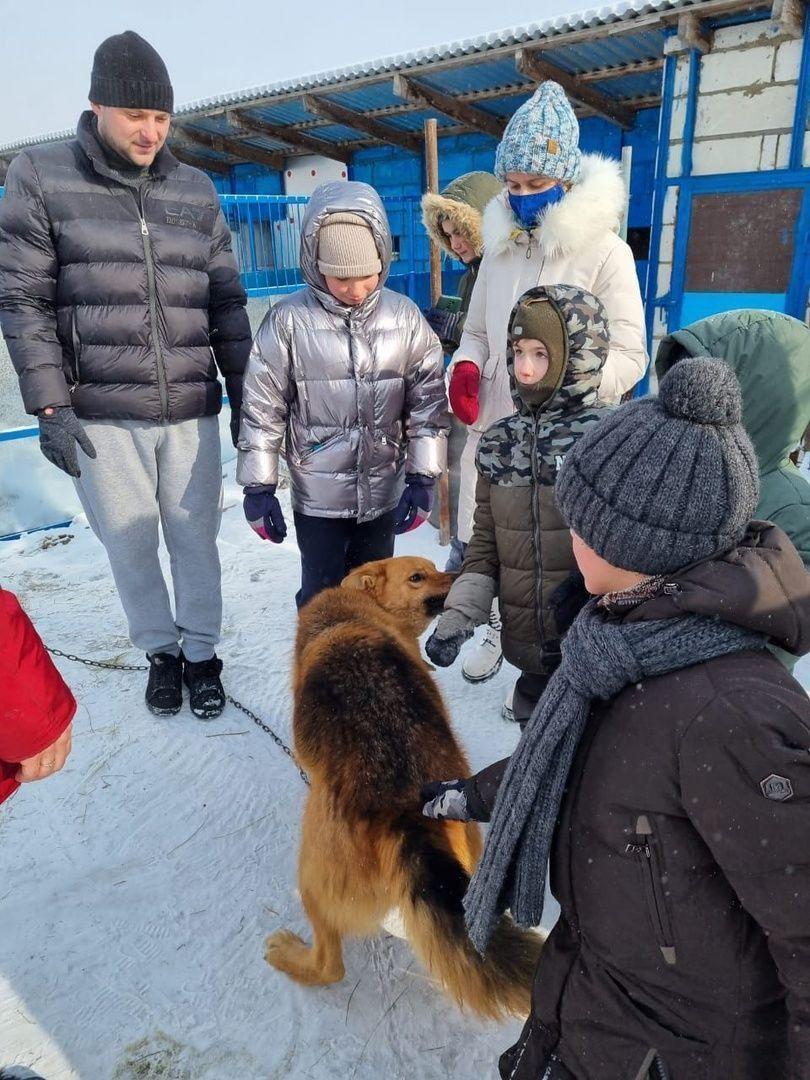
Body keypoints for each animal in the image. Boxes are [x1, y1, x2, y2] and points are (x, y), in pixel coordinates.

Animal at [266, 557, 542, 1019]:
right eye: (418, 576)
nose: (464, 573)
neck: (358, 607)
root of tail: (404, 811)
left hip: (313, 881)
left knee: (330, 966)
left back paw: (290, 956)